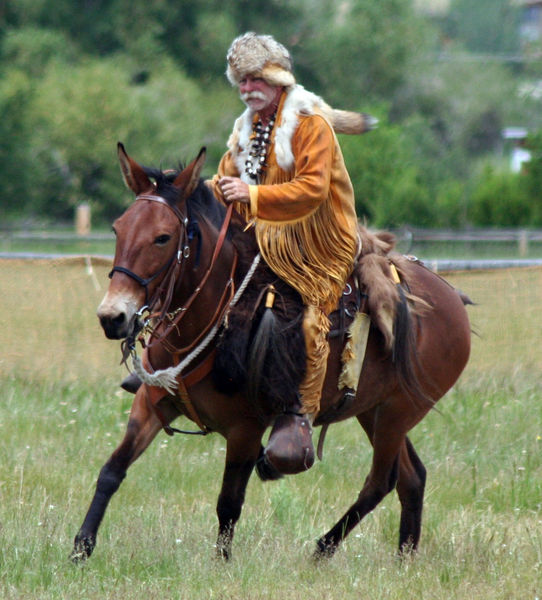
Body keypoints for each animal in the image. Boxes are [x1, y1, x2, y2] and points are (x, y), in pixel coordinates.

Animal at [71, 144, 472, 564]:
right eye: (118, 229)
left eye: (163, 238)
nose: (113, 317)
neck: (215, 316)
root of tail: (450, 297)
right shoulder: (151, 404)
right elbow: (112, 470)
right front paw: (81, 547)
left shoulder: (245, 431)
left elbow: (229, 503)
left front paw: (222, 563)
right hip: (372, 410)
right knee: (412, 477)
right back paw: (403, 557)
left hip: (398, 412)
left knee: (381, 480)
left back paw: (322, 548)